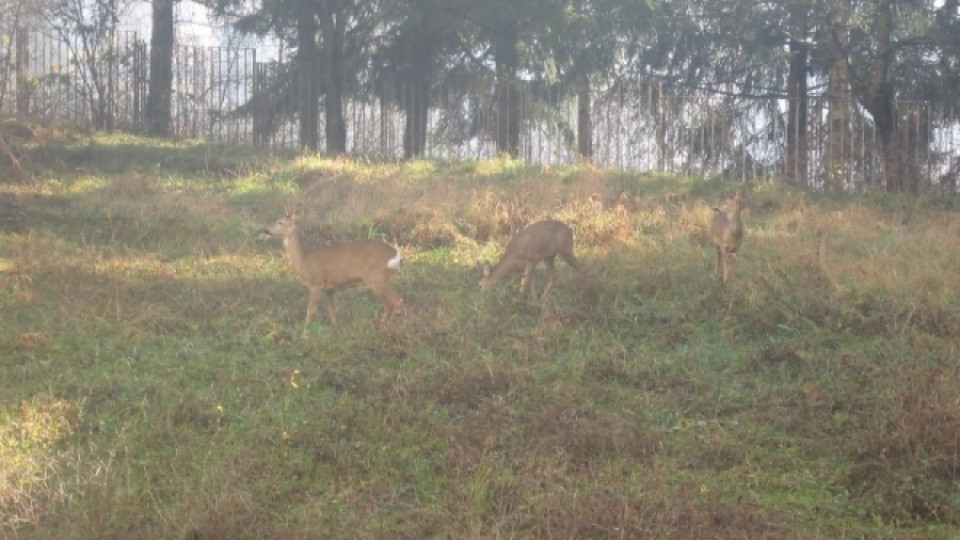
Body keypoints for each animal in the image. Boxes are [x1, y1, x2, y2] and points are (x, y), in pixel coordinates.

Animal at [260, 214, 404, 324]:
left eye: (280, 222)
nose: (265, 229)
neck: (303, 258)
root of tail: (395, 255)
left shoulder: (316, 284)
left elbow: (310, 311)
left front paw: (306, 332)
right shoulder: (330, 289)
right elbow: (333, 311)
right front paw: (335, 329)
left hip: (376, 278)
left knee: (398, 301)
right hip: (382, 280)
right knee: (389, 303)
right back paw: (382, 324)